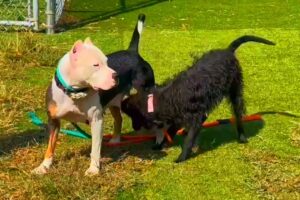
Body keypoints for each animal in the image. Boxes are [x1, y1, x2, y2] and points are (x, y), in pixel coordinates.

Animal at [121, 35, 274, 162]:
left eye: (133, 116)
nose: (134, 128)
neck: (164, 98)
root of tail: (228, 51)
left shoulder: (197, 116)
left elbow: (188, 140)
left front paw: (182, 157)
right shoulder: (179, 117)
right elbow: (171, 131)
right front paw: (161, 145)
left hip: (235, 93)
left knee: (238, 115)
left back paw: (242, 137)